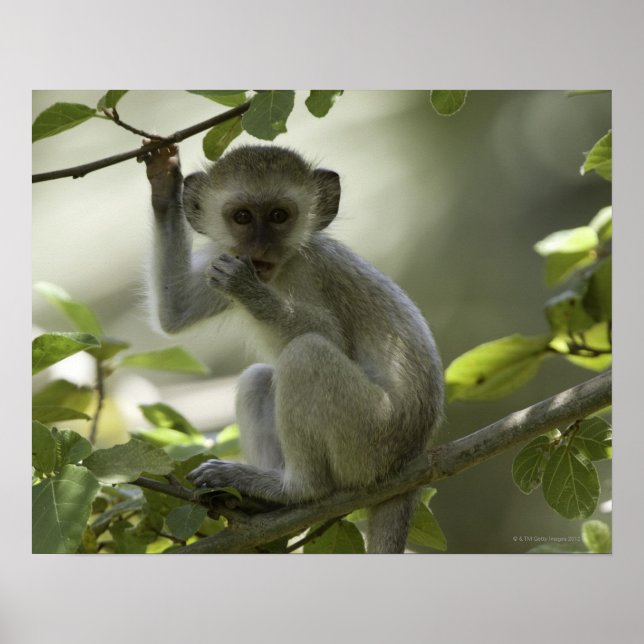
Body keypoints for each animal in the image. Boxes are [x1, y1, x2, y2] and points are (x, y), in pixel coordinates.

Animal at [141, 142, 444, 553]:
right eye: (242, 217)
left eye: (278, 216)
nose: (259, 247)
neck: (281, 268)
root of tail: (412, 457)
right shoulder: (222, 258)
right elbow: (176, 311)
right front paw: (163, 181)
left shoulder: (311, 271)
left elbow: (330, 336)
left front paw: (248, 290)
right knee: (258, 378)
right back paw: (259, 500)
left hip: (371, 441)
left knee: (306, 354)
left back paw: (295, 490)